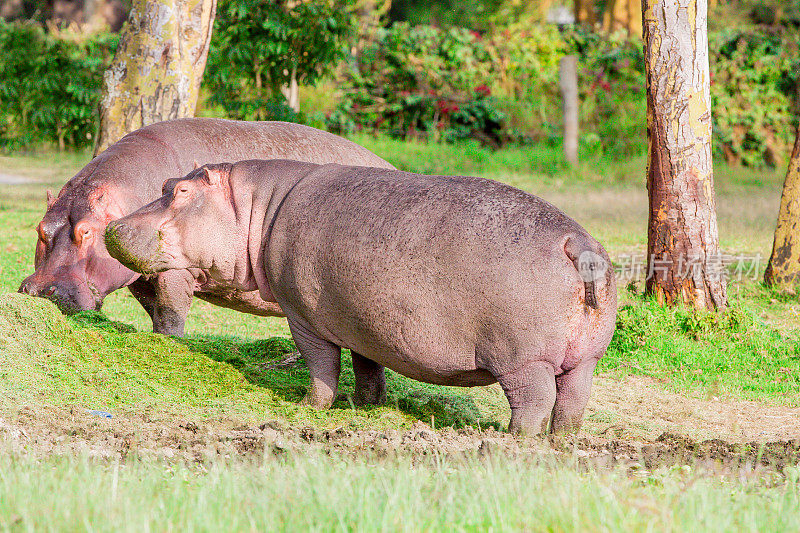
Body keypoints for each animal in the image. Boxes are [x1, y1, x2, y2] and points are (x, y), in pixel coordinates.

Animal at [17, 119, 396, 334]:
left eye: (86, 231)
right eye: (40, 230)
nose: (39, 291)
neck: (128, 197)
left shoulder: (174, 271)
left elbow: (170, 314)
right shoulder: (141, 277)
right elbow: (154, 312)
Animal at [104, 160, 620, 434]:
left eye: (179, 190)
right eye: (164, 185)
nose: (113, 226)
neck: (257, 207)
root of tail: (579, 244)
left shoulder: (304, 318)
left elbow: (322, 366)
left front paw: (309, 408)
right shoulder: (363, 321)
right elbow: (368, 367)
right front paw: (367, 406)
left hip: (522, 359)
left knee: (534, 400)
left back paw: (514, 439)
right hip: (585, 358)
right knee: (572, 402)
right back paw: (560, 441)